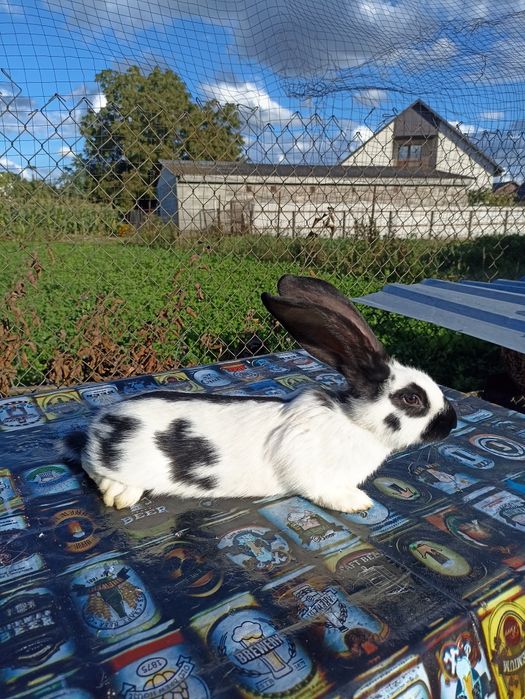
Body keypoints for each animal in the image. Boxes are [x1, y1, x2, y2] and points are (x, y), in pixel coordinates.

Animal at [63, 274, 457, 513]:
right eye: (411, 399)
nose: (451, 422)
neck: (354, 424)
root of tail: (101, 423)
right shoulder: (310, 471)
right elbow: (324, 491)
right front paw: (356, 502)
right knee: (91, 467)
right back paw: (119, 495)